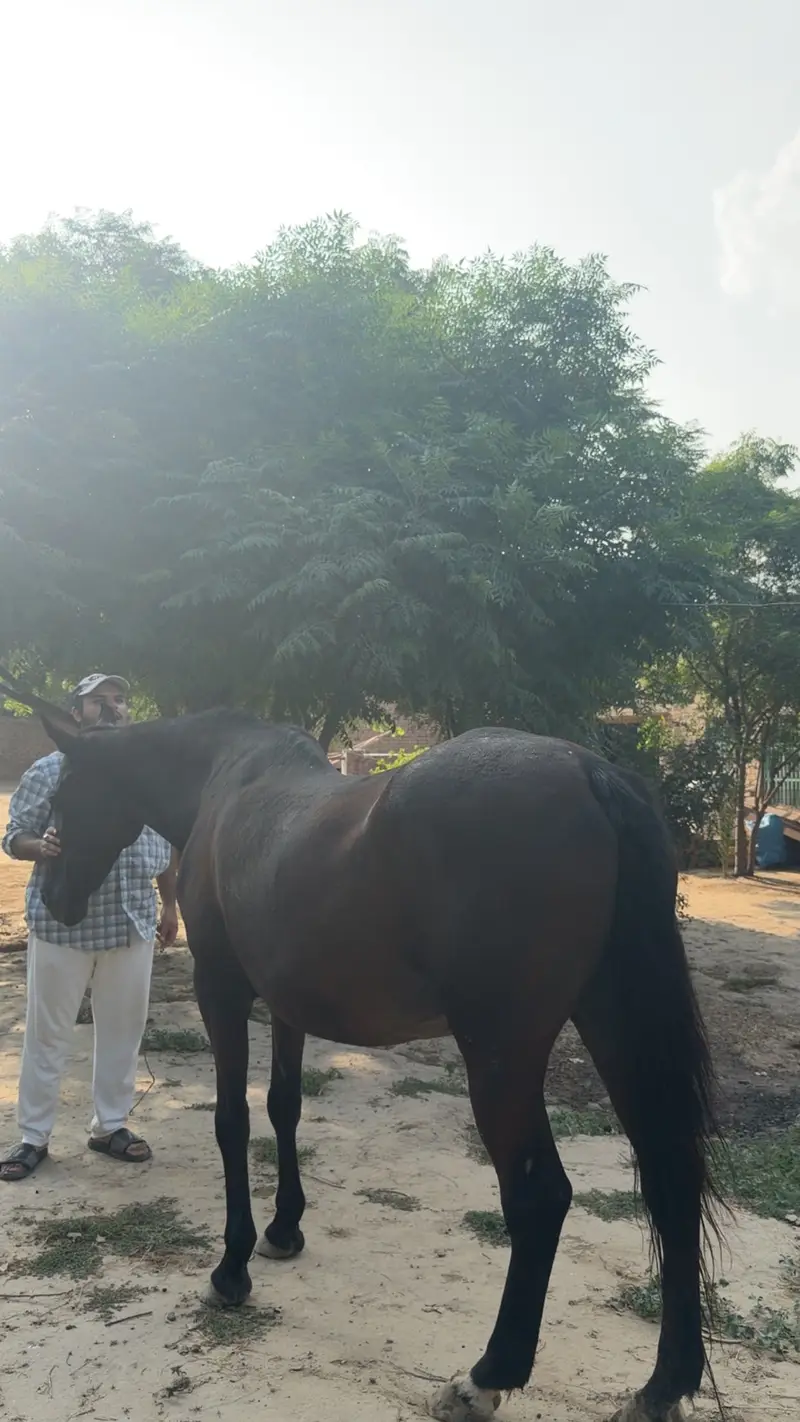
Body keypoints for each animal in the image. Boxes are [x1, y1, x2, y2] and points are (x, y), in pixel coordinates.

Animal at [0, 675, 722, 1422]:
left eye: (64, 799)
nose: (55, 900)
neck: (223, 781)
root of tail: (589, 773)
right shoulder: (286, 1003)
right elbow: (284, 1107)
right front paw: (284, 1230)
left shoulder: (221, 990)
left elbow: (233, 1122)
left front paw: (232, 1269)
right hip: (613, 1026)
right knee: (670, 1182)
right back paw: (662, 1386)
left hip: (502, 1055)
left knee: (540, 1197)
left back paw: (487, 1376)